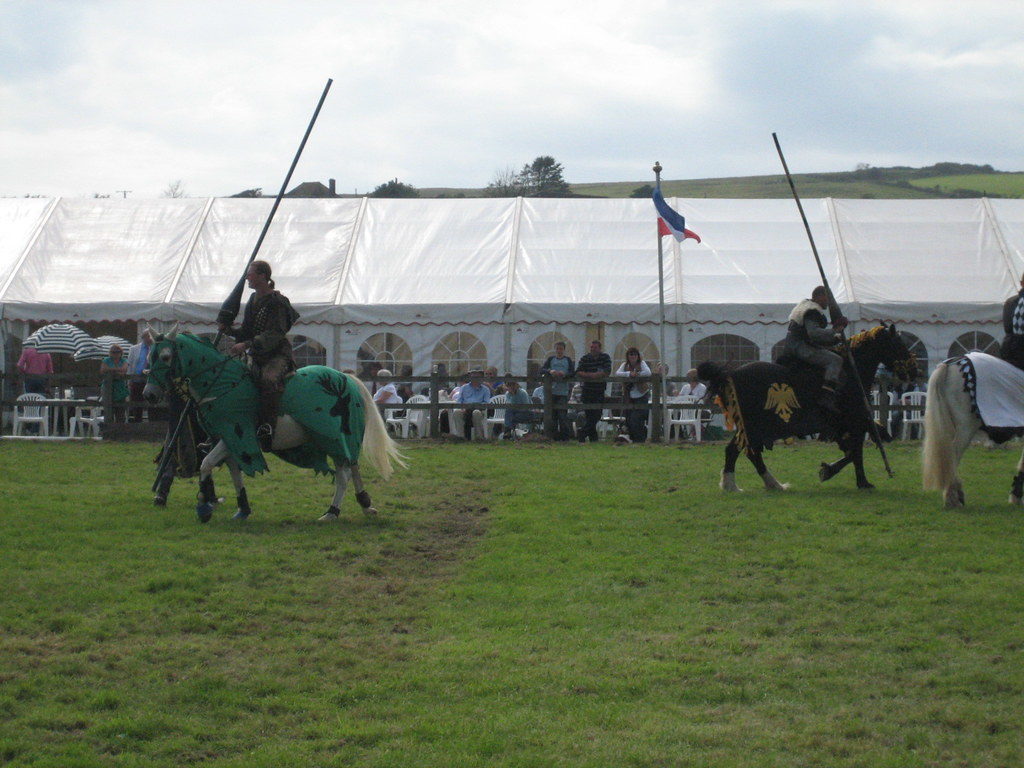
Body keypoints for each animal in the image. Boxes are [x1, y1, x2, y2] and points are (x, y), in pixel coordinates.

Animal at [700, 325, 917, 493]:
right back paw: (741, 485)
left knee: (744, 452)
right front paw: (857, 480)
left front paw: (835, 472)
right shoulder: (854, 424)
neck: (851, 373)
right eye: (898, 344)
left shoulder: (847, 426)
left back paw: (766, 484)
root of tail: (728, 376)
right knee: (742, 451)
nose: (914, 371)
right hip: (753, 427)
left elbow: (852, 453)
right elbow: (855, 453)